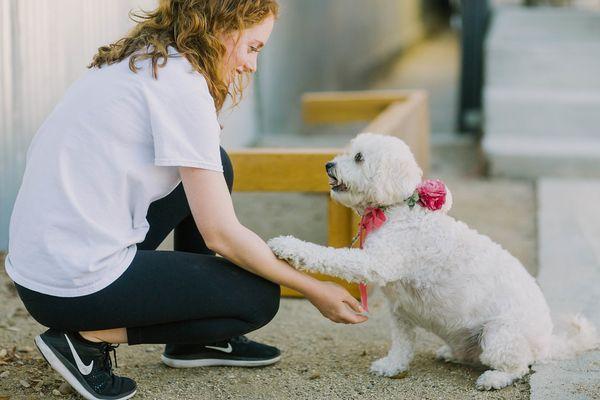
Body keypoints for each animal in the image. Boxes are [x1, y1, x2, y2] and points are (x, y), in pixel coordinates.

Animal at [268, 133, 600, 390]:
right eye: (349, 151)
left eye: (359, 157)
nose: (329, 165)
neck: (396, 209)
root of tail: (546, 342)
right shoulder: (399, 311)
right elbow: (401, 346)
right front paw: (392, 366)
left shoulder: (376, 263)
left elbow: (330, 256)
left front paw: (287, 245)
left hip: (499, 336)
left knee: (518, 366)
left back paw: (494, 379)